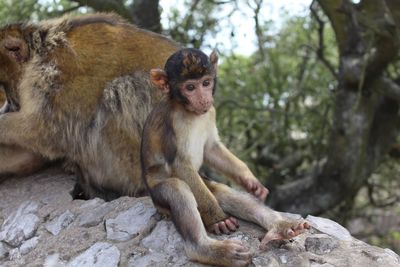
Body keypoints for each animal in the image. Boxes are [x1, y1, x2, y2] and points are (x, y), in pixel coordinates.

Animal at [0, 13, 178, 199]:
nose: (9, 104)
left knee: (123, 88)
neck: (40, 50)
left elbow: (48, 129)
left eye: (3, 86)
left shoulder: (56, 70)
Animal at [141, 48, 310, 267]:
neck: (187, 110)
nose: (204, 98)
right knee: (178, 189)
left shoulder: (210, 111)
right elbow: (180, 164)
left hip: (203, 182)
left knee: (223, 192)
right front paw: (219, 219)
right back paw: (209, 249)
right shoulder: (172, 122)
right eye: (190, 87)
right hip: (159, 197)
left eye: (206, 83)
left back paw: (281, 226)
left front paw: (251, 182)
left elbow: (212, 148)